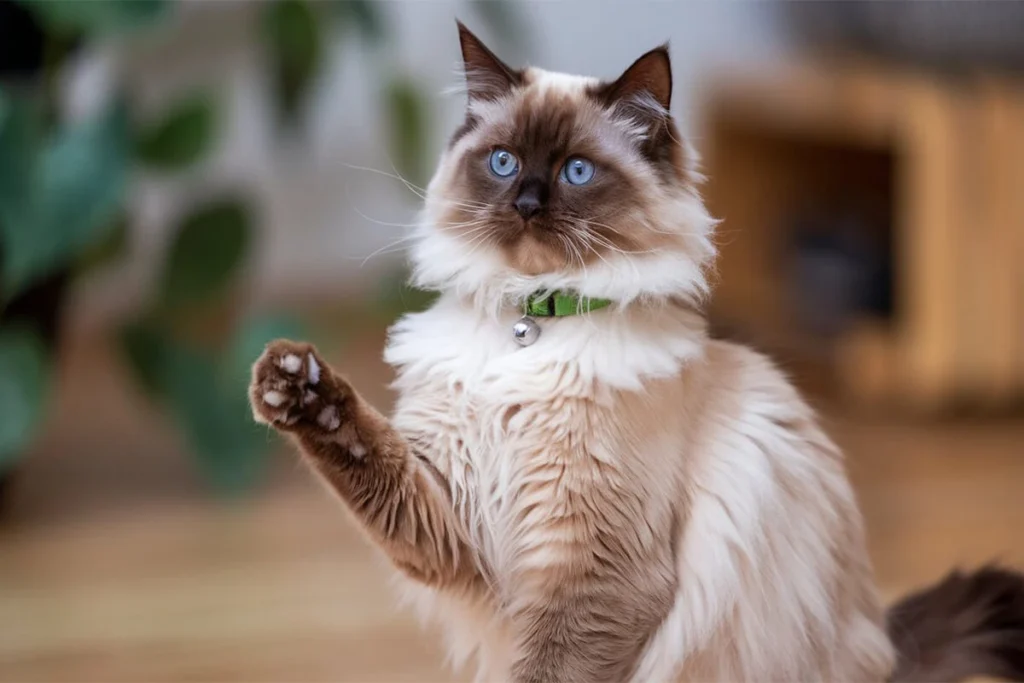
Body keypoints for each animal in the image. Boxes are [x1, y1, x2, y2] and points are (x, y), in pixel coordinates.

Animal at [249, 21, 1024, 683]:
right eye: (502, 162)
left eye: (577, 172)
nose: (526, 203)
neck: (530, 326)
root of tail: (892, 650)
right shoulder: (454, 518)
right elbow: (363, 449)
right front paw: (291, 383)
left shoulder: (595, 576)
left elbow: (550, 670)